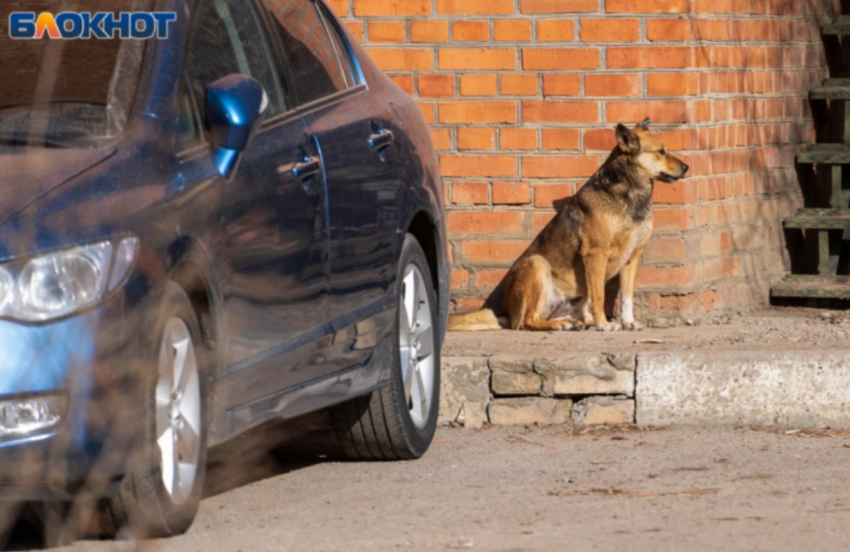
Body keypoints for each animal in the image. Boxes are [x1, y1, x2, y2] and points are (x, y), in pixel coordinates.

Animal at [448, 120, 684, 332]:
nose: (687, 167)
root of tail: (507, 314)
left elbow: (627, 296)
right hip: (537, 264)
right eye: (661, 151)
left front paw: (628, 322)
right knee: (528, 321)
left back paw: (574, 322)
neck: (630, 194)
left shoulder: (631, 258)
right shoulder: (595, 254)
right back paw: (561, 324)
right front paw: (604, 324)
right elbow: (600, 295)